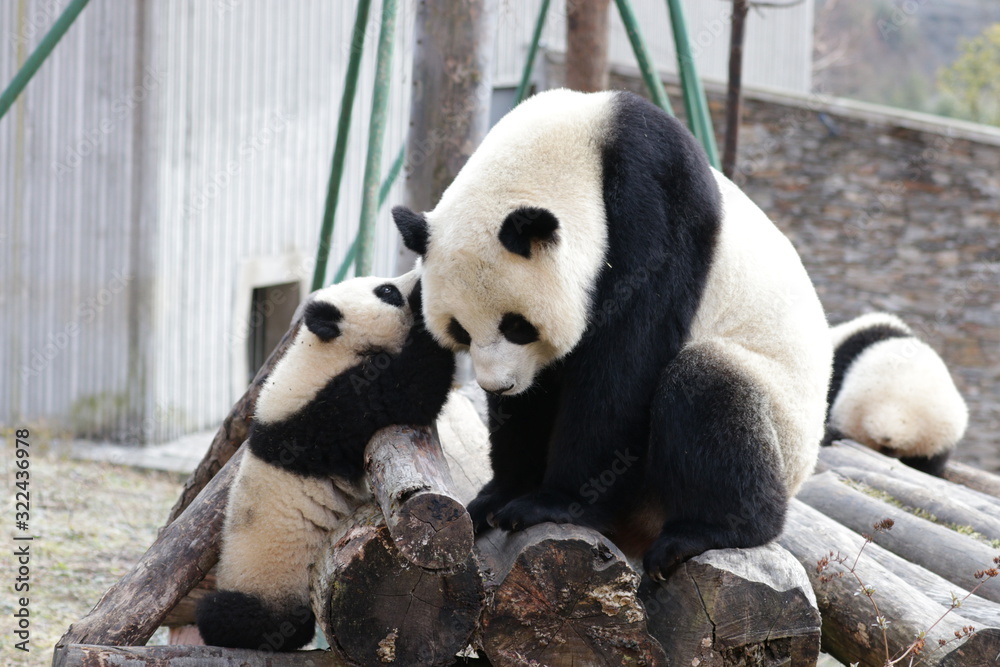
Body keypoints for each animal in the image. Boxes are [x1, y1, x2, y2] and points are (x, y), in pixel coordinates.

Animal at [196, 271, 455, 651]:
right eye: (387, 291)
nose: (417, 277)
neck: (323, 352)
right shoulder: (330, 407)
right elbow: (409, 391)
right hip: (270, 582)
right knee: (235, 617)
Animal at [391, 88, 832, 581]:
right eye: (460, 330)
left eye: (517, 325)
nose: (499, 385)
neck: (584, 141)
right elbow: (538, 398)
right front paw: (499, 496)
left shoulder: (656, 209)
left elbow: (623, 363)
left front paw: (554, 503)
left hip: (781, 419)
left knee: (708, 386)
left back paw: (710, 530)